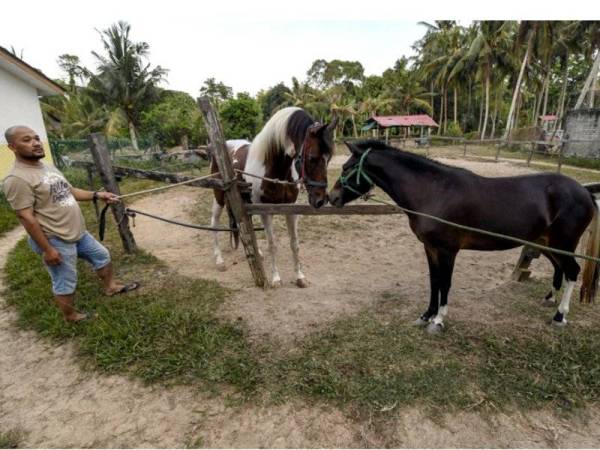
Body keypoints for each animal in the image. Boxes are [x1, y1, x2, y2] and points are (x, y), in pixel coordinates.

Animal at [211, 107, 336, 286]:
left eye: (329, 159)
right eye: (312, 158)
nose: (320, 200)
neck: (275, 171)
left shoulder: (290, 209)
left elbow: (294, 243)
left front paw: (299, 276)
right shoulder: (266, 212)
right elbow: (272, 244)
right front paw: (276, 278)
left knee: (247, 224)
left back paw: (257, 253)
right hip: (219, 197)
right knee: (213, 222)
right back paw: (219, 260)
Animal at [328, 141, 600, 334]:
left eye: (346, 168)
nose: (331, 198)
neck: (435, 191)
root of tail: (584, 191)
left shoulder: (448, 250)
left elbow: (445, 283)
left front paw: (438, 321)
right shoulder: (430, 248)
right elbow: (434, 281)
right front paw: (426, 316)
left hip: (562, 243)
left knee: (572, 272)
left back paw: (560, 316)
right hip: (547, 244)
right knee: (560, 269)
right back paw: (549, 300)